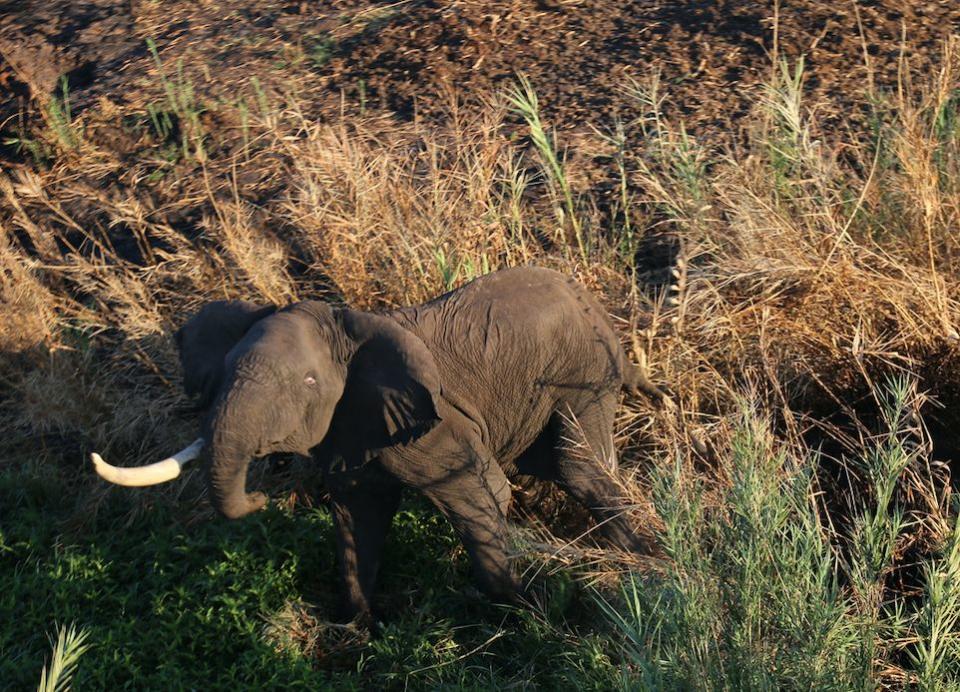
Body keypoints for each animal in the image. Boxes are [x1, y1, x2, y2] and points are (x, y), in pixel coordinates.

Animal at [95, 266, 668, 620]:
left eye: (308, 383)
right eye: (224, 375)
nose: (259, 495)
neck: (345, 331)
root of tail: (589, 298)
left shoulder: (434, 428)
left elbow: (481, 492)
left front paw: (522, 612)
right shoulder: (349, 426)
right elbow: (358, 516)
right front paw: (359, 626)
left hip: (582, 371)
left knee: (577, 467)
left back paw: (644, 561)